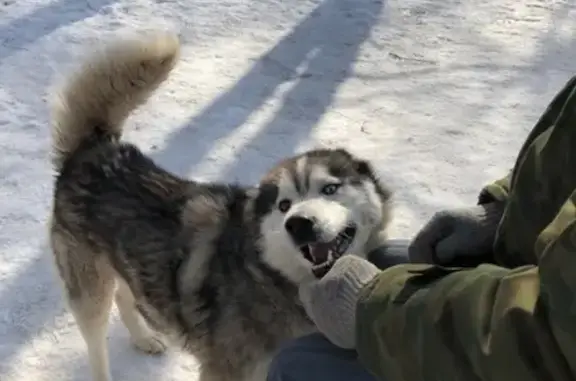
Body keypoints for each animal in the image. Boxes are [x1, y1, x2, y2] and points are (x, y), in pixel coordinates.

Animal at [48, 32, 392, 380]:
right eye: (284, 205)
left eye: (330, 189)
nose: (299, 224)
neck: (268, 276)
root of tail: (96, 150)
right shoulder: (225, 370)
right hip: (90, 294)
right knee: (97, 339)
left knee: (125, 295)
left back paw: (144, 339)